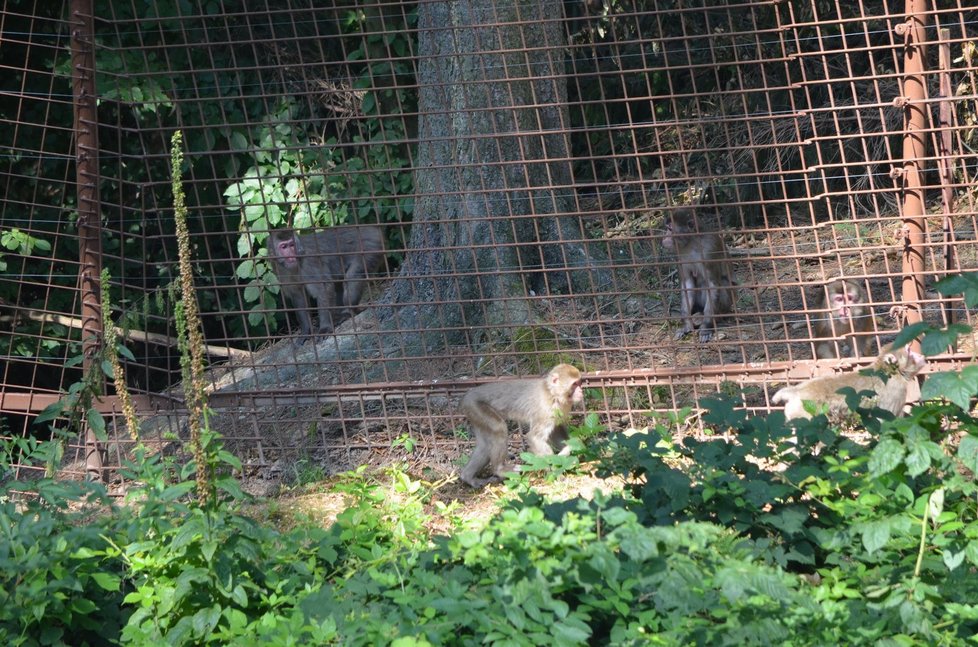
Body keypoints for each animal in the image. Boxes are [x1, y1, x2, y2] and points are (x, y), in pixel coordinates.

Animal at [660, 209, 736, 342]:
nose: (664, 238)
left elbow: (712, 285)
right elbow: (687, 284)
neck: (692, 242)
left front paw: (706, 327)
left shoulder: (709, 252)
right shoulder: (680, 254)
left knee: (722, 283)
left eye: (670, 229)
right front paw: (686, 325)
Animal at [772, 346, 924, 422]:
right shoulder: (896, 389)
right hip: (805, 412)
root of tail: (796, 391)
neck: (889, 371)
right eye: (908, 351)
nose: (920, 355)